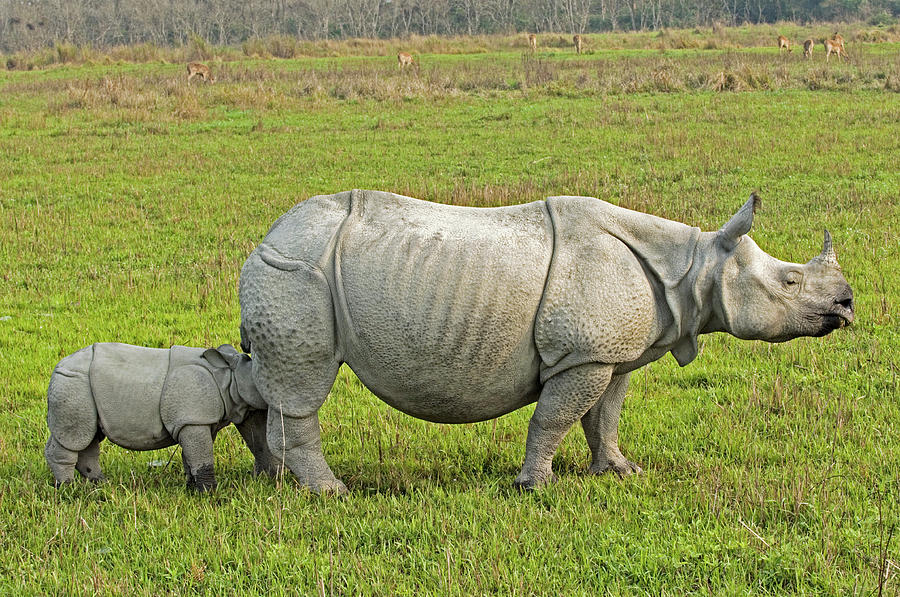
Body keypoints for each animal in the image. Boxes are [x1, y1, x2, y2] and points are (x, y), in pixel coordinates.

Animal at [44, 340, 278, 488]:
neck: (228, 377)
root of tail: (57, 367)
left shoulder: (196, 420)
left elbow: (192, 456)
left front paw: (192, 489)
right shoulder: (193, 419)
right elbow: (202, 456)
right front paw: (209, 491)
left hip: (81, 388)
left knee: (89, 437)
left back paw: (100, 484)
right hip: (73, 382)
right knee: (75, 438)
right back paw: (68, 488)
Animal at [237, 189, 852, 492]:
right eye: (789, 282)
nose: (847, 305)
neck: (693, 265)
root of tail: (265, 237)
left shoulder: (608, 355)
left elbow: (605, 417)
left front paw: (620, 473)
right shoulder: (580, 356)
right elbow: (554, 419)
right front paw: (536, 487)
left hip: (291, 269)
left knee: (271, 382)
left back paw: (274, 480)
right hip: (297, 271)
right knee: (303, 387)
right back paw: (330, 492)